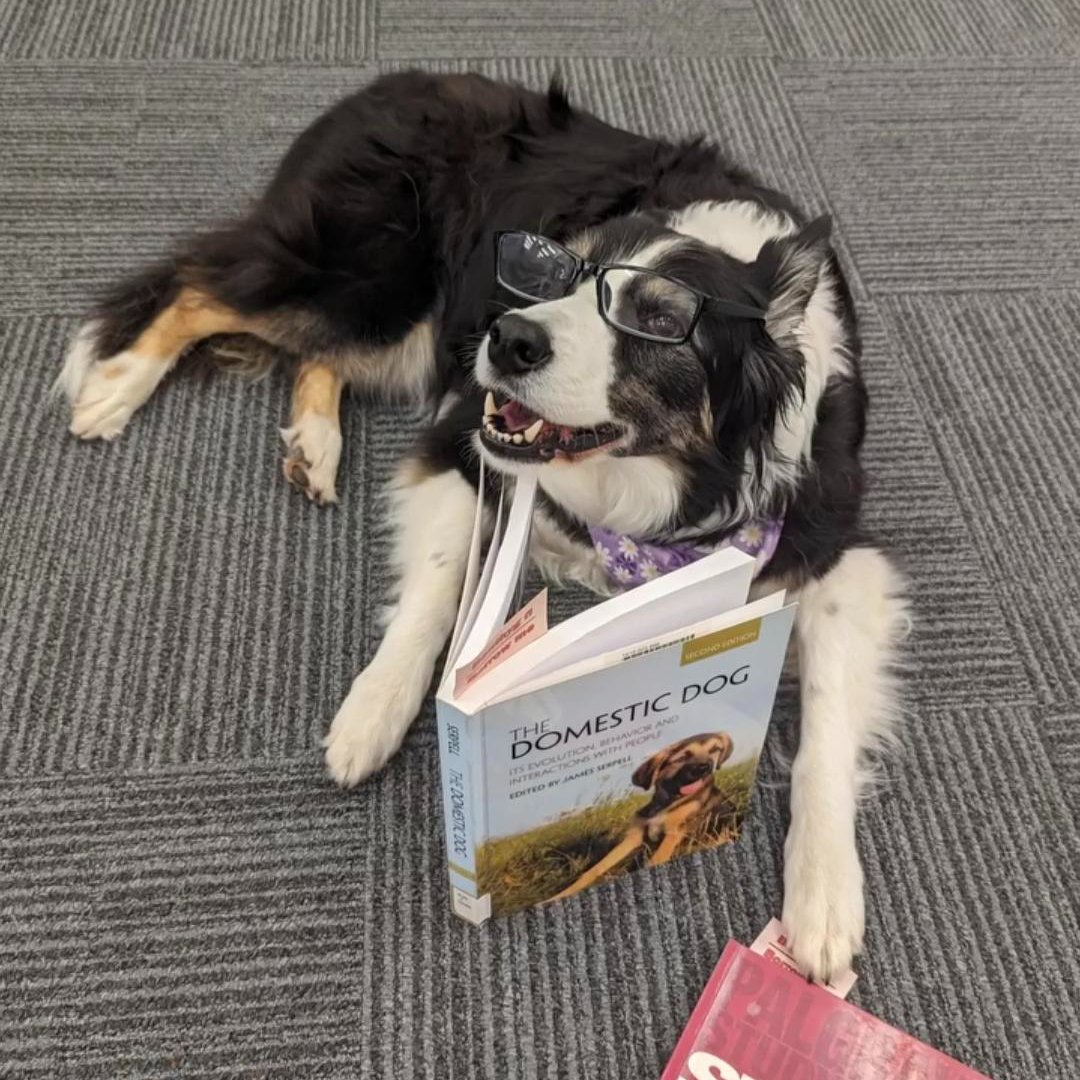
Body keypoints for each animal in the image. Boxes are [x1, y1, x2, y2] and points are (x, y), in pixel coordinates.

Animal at [552, 730, 738, 898]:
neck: (665, 804)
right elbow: (597, 868)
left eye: (715, 749)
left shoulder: (673, 834)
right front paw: (559, 896)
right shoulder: (634, 836)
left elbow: (653, 862)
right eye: (683, 756)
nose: (705, 767)